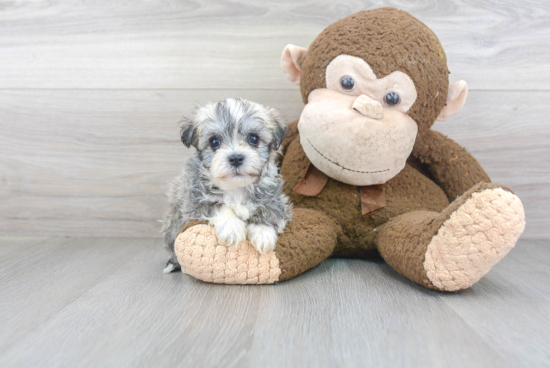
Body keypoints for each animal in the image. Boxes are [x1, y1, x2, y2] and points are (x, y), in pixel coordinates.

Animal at [163, 98, 296, 274]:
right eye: (214, 142)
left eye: (254, 139)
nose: (236, 158)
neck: (235, 187)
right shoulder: (193, 203)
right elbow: (219, 206)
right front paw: (232, 228)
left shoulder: (276, 198)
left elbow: (270, 210)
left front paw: (263, 233)